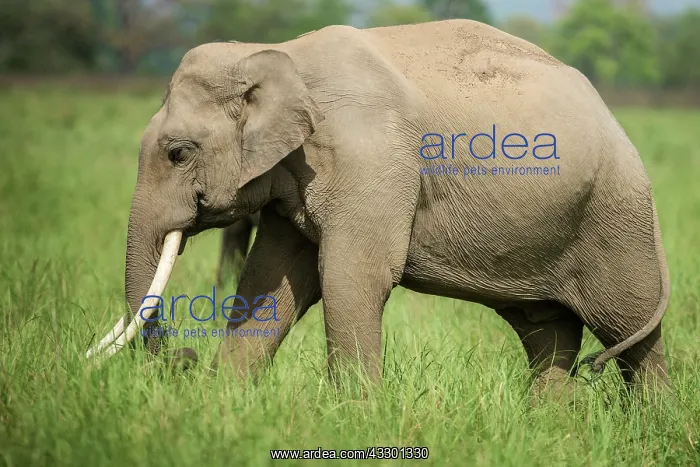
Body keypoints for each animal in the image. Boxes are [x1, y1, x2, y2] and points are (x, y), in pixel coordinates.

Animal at [87, 19, 671, 397]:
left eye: (178, 153)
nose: (181, 362)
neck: (275, 53)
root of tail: (615, 120)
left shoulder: (371, 161)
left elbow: (351, 277)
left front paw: (357, 416)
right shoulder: (294, 175)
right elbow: (269, 280)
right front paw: (221, 405)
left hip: (616, 219)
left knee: (630, 328)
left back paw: (655, 429)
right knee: (547, 333)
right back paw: (548, 425)